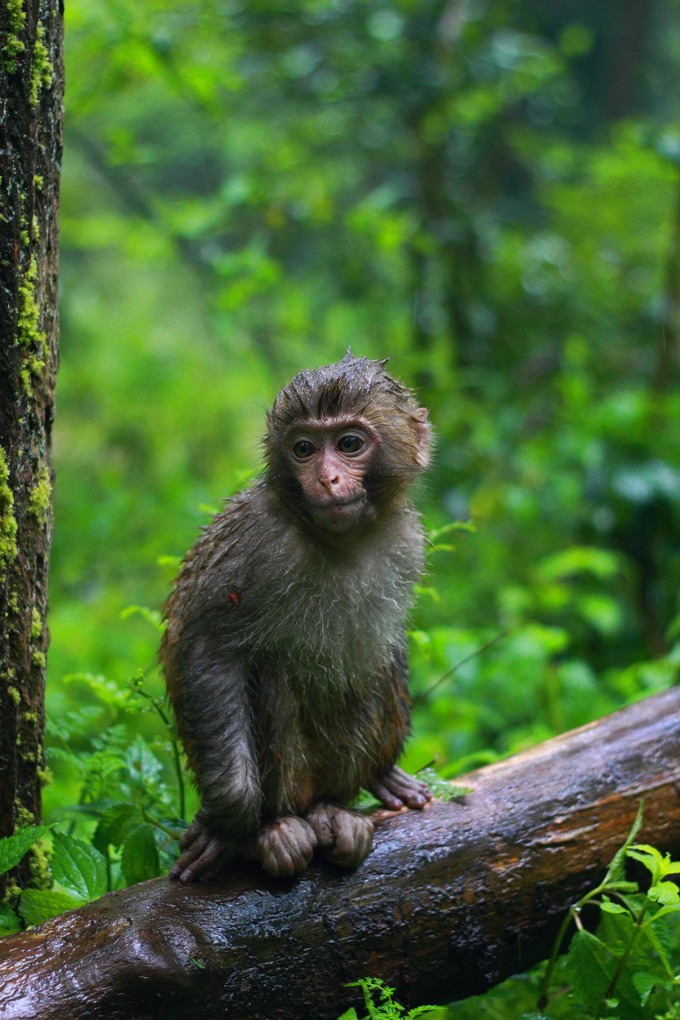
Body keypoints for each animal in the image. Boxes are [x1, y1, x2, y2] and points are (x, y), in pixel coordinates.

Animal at [161, 352, 430, 885]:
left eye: (349, 443)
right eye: (304, 448)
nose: (327, 478)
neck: (338, 542)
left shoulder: (407, 541)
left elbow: (385, 643)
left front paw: (382, 772)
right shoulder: (256, 543)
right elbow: (210, 650)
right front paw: (229, 824)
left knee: (368, 670)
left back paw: (335, 809)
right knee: (272, 673)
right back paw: (277, 827)